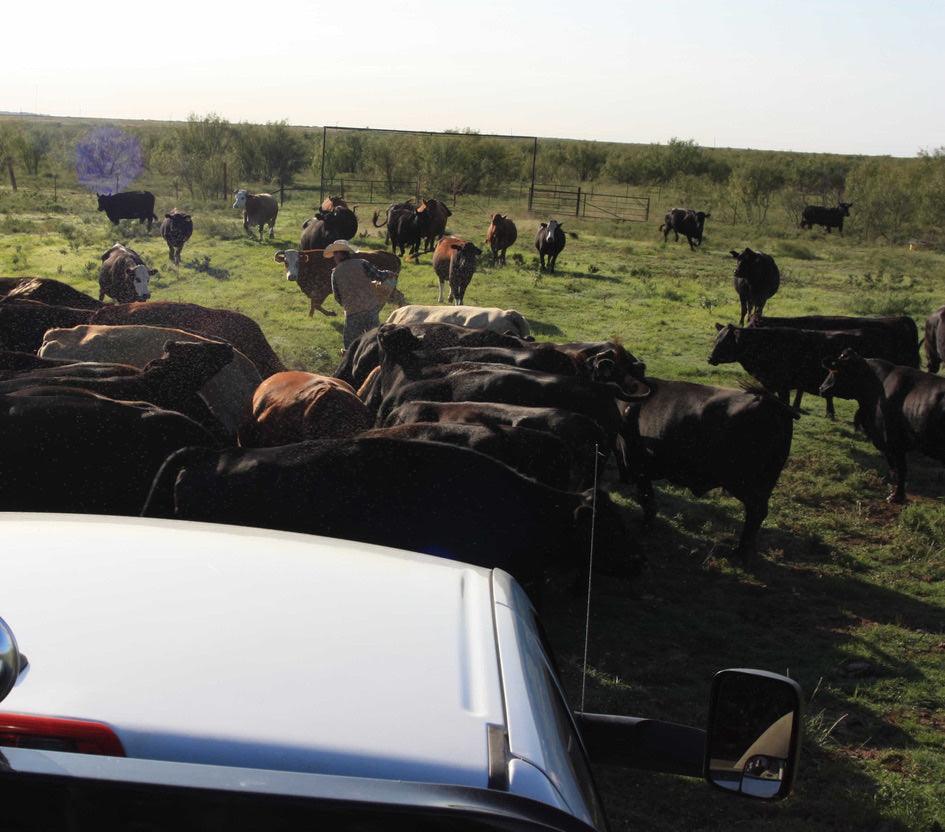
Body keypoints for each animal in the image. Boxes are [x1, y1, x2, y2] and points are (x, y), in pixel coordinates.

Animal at [274, 248, 404, 318]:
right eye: (286, 262)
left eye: (297, 262)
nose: (291, 276)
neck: (310, 264)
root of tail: (392, 256)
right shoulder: (314, 291)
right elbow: (313, 305)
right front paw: (310, 317)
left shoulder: (323, 290)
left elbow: (316, 305)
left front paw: (331, 313)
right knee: (399, 297)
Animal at [617, 378, 797, 559]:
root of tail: (769, 402)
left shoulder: (637, 466)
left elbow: (646, 499)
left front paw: (646, 525)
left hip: (745, 484)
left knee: (756, 512)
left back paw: (740, 552)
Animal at [708, 323, 913, 418]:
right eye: (716, 339)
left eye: (725, 342)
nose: (709, 358)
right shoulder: (770, 383)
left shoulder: (783, 385)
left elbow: (785, 402)